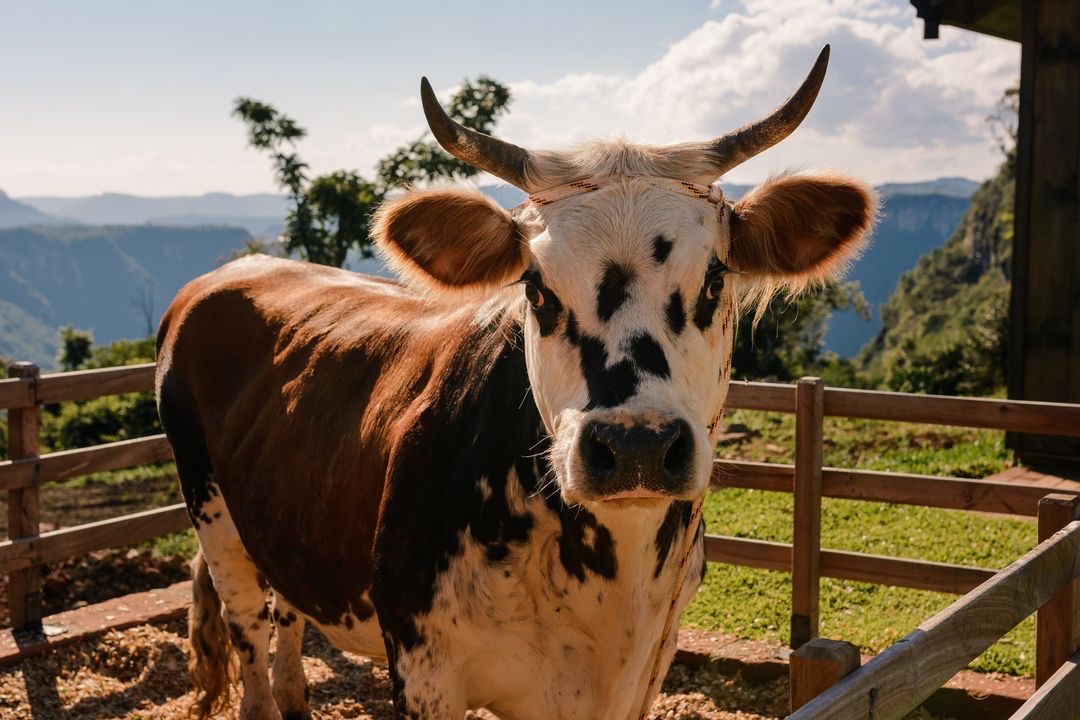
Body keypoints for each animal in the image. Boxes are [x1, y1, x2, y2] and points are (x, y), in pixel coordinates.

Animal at [156, 46, 872, 720]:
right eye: (535, 286)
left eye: (717, 278)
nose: (636, 446)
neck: (614, 594)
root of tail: (231, 273)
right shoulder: (423, 670)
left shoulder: (647, 669)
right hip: (212, 513)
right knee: (249, 632)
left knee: (288, 611)